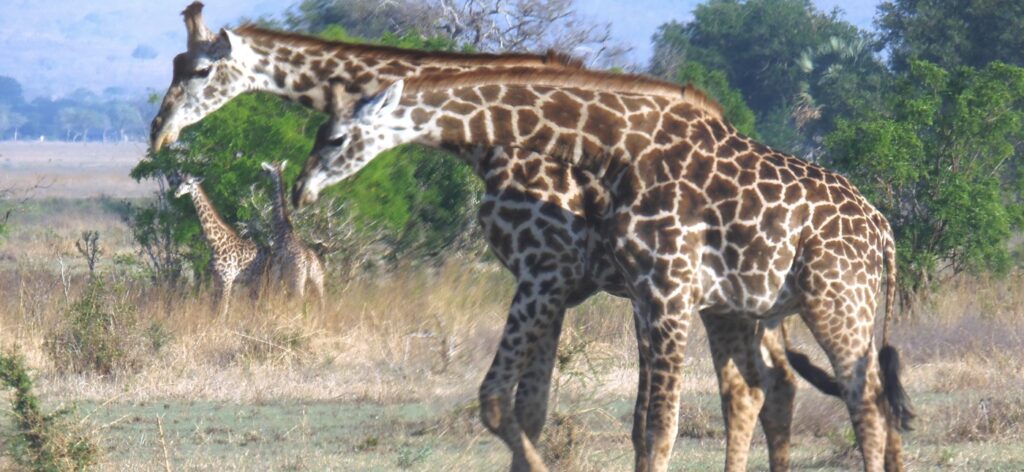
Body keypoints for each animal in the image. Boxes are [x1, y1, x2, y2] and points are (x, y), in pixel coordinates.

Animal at [176, 175, 272, 315]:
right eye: (180, 182)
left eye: (188, 183)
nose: (176, 193)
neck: (217, 243)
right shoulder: (217, 278)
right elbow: (214, 306)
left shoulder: (228, 278)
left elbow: (223, 308)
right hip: (254, 280)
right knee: (256, 301)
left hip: (261, 278)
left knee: (260, 300)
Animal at [260, 160, 323, 301]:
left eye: (267, 171)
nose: (261, 174)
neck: (283, 229)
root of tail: (309, 265)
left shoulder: (275, 271)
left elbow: (273, 296)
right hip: (318, 285)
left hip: (296, 282)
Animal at [294, 70, 913, 470]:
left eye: (336, 136)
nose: (302, 189)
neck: (613, 147)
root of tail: (882, 230)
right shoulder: (639, 292)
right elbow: (624, 422)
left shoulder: (635, 285)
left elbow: (658, 427)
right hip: (769, 305)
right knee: (801, 391)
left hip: (833, 299)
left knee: (862, 399)